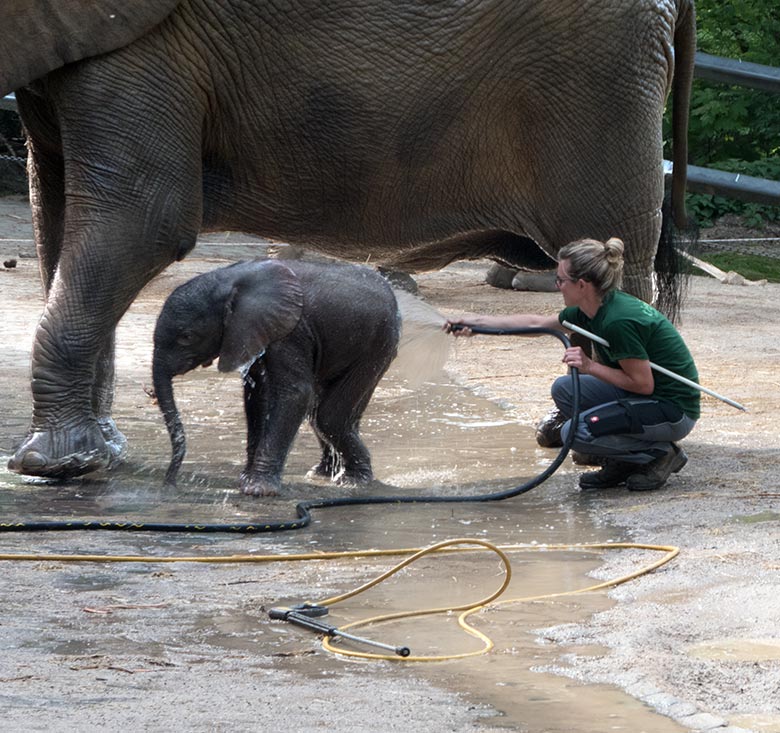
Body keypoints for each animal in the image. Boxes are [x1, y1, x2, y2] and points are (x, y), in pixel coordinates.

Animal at [151, 258, 402, 498]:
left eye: (186, 337)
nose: (169, 485)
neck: (229, 279)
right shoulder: (255, 331)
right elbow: (258, 395)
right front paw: (246, 478)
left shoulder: (291, 330)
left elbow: (295, 393)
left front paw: (258, 489)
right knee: (327, 413)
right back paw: (323, 473)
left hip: (377, 347)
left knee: (329, 416)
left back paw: (353, 480)